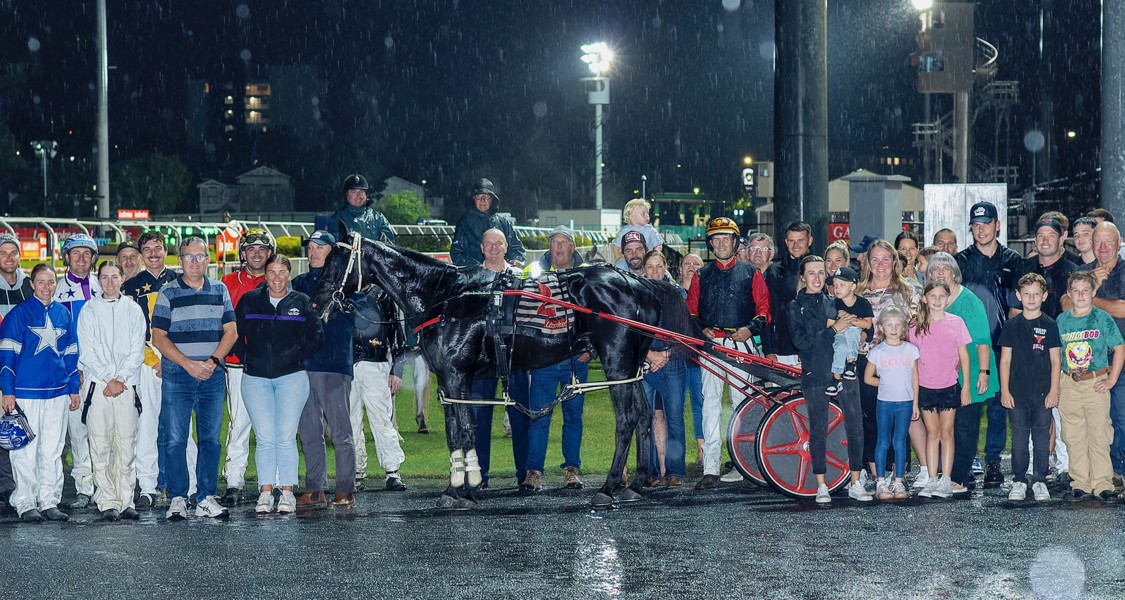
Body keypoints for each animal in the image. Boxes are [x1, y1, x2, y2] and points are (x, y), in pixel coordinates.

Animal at [310, 225, 700, 508]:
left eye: (335, 261)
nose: (315, 304)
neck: (447, 297)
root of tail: (638, 281)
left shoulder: (456, 377)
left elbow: (465, 432)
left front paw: (462, 490)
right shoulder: (451, 383)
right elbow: (456, 432)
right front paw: (459, 485)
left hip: (617, 364)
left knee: (627, 419)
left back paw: (608, 486)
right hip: (631, 366)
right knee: (644, 415)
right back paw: (637, 482)